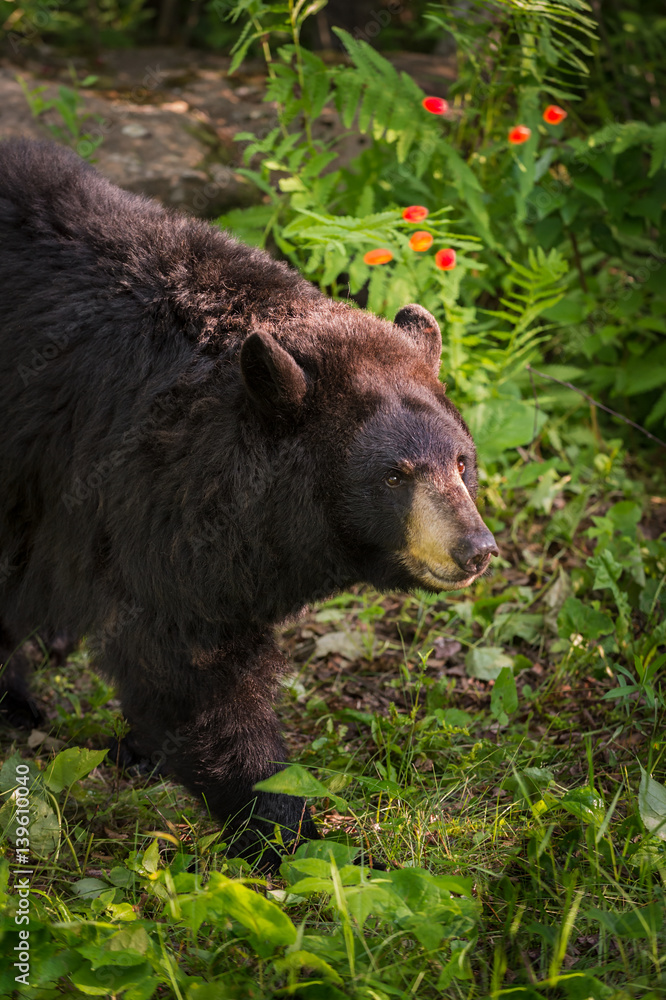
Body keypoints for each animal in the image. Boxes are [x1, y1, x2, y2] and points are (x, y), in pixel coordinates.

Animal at [0, 138, 497, 866]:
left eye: (463, 461)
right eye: (394, 475)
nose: (475, 548)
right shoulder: (142, 489)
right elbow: (190, 668)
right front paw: (292, 831)